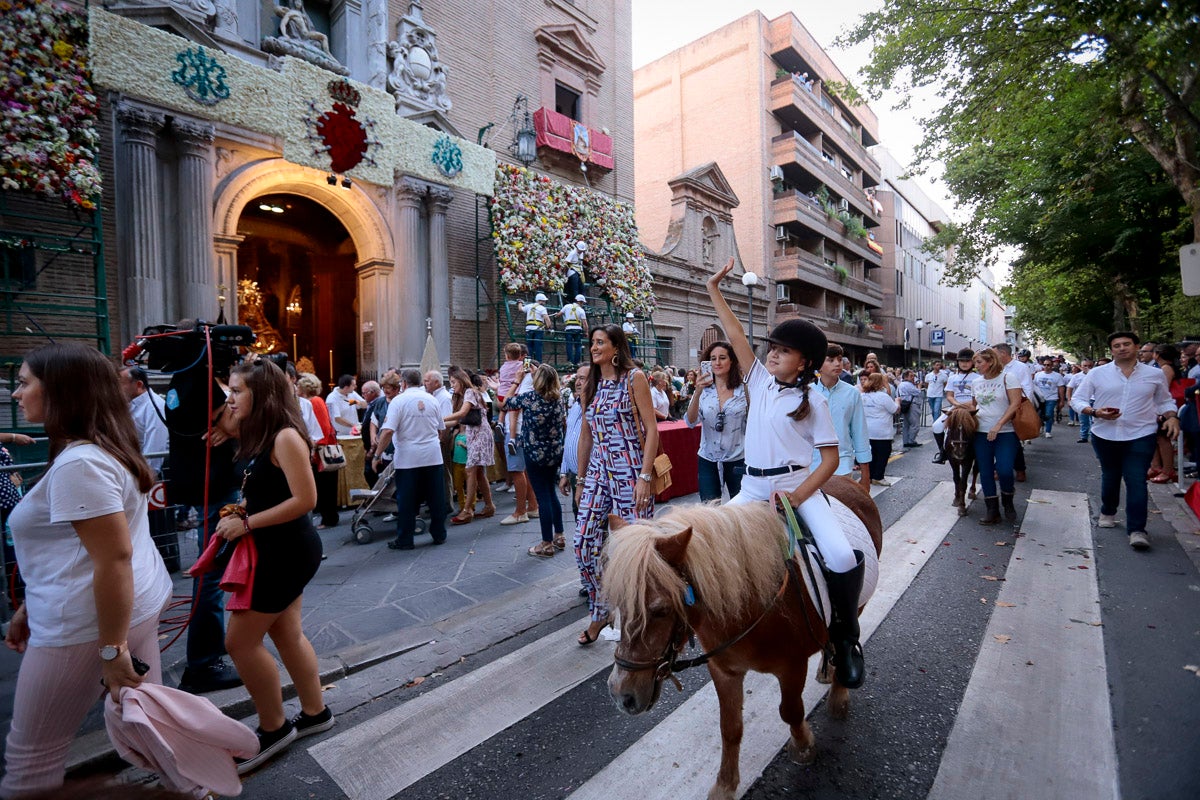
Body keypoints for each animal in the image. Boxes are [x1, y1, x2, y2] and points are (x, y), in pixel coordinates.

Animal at [609, 479, 883, 796]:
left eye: (660, 610)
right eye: (618, 603)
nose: (621, 695)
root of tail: (849, 481)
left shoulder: (792, 667)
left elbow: (790, 711)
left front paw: (803, 746)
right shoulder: (724, 670)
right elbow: (730, 728)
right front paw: (725, 785)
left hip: (855, 599)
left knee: (845, 634)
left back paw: (839, 692)